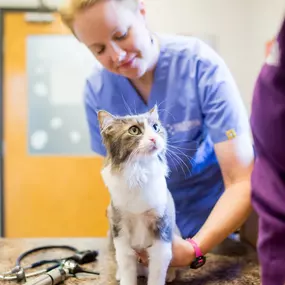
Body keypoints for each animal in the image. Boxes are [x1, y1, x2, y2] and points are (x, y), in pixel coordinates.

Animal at [96, 105, 179, 284]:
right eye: (134, 130)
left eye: (156, 127)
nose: (154, 138)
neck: (139, 172)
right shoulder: (119, 225)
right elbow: (126, 263)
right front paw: (125, 276)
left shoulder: (162, 225)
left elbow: (158, 268)